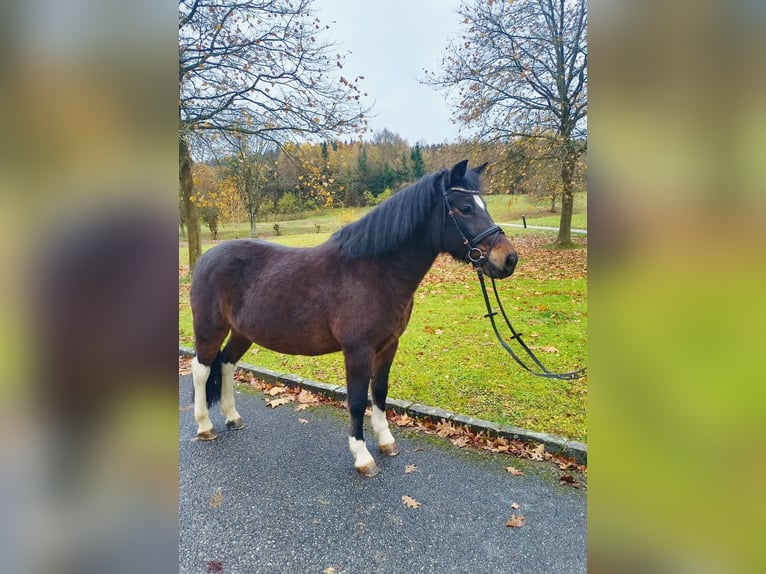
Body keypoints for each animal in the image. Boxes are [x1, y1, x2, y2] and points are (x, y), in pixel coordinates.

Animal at [189, 161, 520, 476]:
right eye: (465, 208)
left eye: (482, 204)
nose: (509, 259)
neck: (374, 272)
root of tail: (205, 258)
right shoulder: (358, 351)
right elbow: (358, 400)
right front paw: (362, 457)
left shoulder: (388, 346)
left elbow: (380, 392)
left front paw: (386, 442)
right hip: (209, 329)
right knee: (201, 370)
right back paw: (205, 427)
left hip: (242, 332)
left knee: (227, 364)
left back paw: (233, 418)